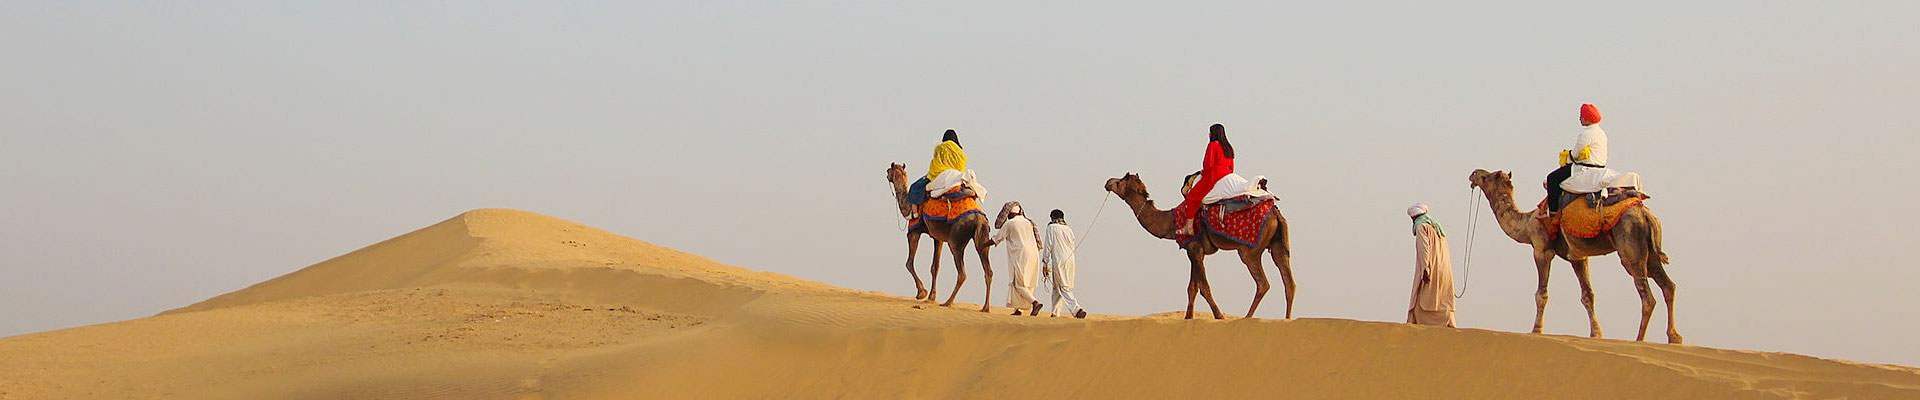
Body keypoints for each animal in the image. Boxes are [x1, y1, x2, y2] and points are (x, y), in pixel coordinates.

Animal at [885, 163, 995, 312]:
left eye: (889, 170)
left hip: (956, 240)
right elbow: (935, 266)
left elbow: (909, 263)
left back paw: (948, 302)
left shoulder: (913, 231)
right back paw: (985, 307)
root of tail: (978, 219)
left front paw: (921, 293)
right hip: (983, 236)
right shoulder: (938, 238)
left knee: (962, 272)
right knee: (988, 270)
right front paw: (931, 296)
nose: (886, 173)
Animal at [1103, 173, 1296, 320]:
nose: (1108, 182)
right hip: (1278, 245)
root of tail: (1276, 213)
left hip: (1249, 251)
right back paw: (1287, 319)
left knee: (1263, 283)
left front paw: (1219, 316)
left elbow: (1203, 287)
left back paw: (1247, 318)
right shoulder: (1195, 250)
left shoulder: (1194, 247)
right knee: (1289, 282)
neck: (1171, 222)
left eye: (1121, 180)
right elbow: (1192, 288)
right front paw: (1189, 318)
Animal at [1467, 169, 1681, 344]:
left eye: (1486, 177)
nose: (1473, 174)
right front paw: (1596, 334)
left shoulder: (1541, 249)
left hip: (1630, 249)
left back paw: (1639, 339)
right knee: (1668, 286)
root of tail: (1646, 215)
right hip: (1650, 253)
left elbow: (1541, 294)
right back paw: (1674, 337)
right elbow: (1588, 295)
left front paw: (1536, 330)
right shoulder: (1577, 257)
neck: (1526, 223)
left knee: (1647, 296)